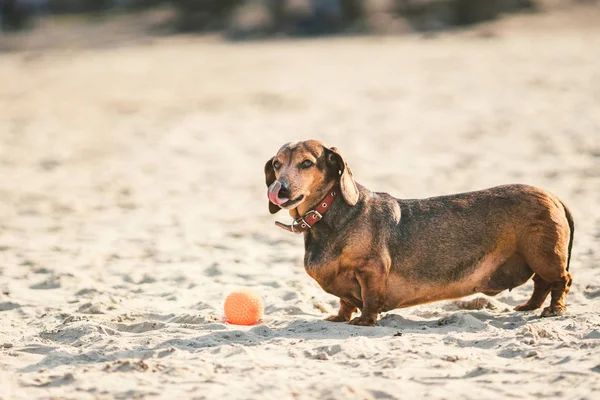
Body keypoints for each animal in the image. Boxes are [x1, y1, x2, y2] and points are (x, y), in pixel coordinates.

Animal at [264, 140, 576, 324]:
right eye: (277, 165)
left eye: (306, 163)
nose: (279, 190)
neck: (330, 213)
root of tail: (554, 196)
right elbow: (344, 302)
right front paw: (339, 317)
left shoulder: (371, 271)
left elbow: (369, 299)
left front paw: (364, 320)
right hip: (537, 259)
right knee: (541, 284)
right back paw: (529, 306)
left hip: (544, 256)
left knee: (561, 280)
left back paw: (554, 309)